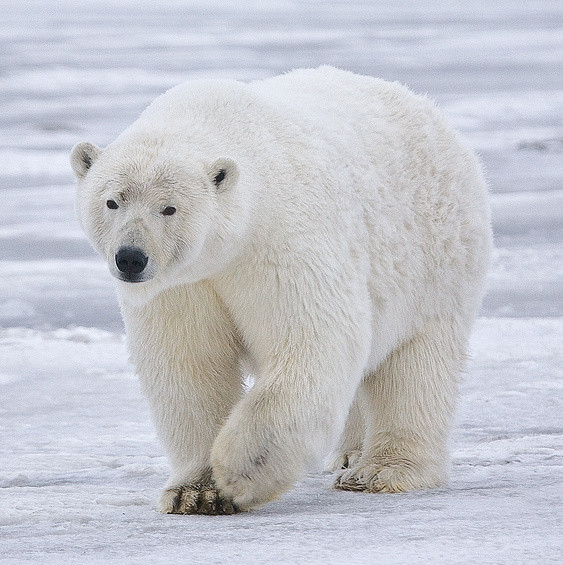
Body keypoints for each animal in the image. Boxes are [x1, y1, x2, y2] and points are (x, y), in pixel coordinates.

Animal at [71, 67, 494, 516]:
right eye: (112, 201)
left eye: (169, 208)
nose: (131, 258)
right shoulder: (182, 285)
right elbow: (189, 365)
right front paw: (195, 492)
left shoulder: (281, 241)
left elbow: (312, 341)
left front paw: (239, 471)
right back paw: (348, 455)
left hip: (436, 261)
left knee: (416, 367)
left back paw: (380, 471)